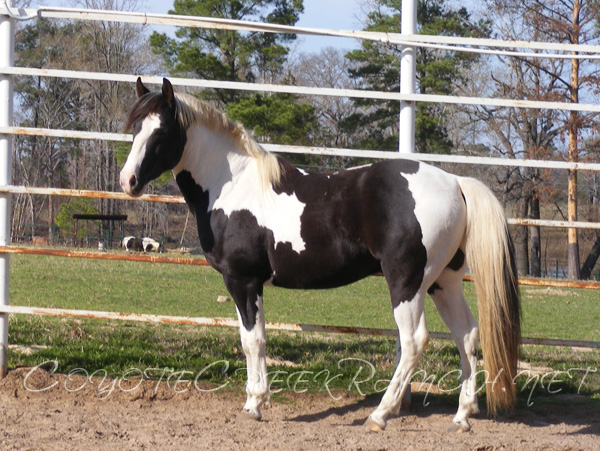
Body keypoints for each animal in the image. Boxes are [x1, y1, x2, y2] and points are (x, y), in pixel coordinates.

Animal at [118, 78, 520, 434]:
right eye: (134, 129)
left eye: (161, 132)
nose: (128, 181)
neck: (231, 187)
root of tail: (455, 182)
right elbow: (250, 340)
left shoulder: (242, 280)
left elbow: (253, 341)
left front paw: (255, 405)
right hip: (443, 281)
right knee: (467, 335)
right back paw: (462, 416)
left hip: (407, 282)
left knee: (413, 341)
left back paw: (379, 415)